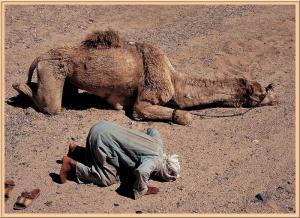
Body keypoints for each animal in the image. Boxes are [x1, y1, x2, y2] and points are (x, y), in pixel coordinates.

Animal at [13, 29, 276, 124]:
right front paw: (183, 117)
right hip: (51, 68)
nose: (276, 98)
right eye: (261, 93)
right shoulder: (146, 100)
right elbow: (176, 114)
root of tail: (41, 55)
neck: (174, 78)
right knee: (51, 106)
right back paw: (19, 87)